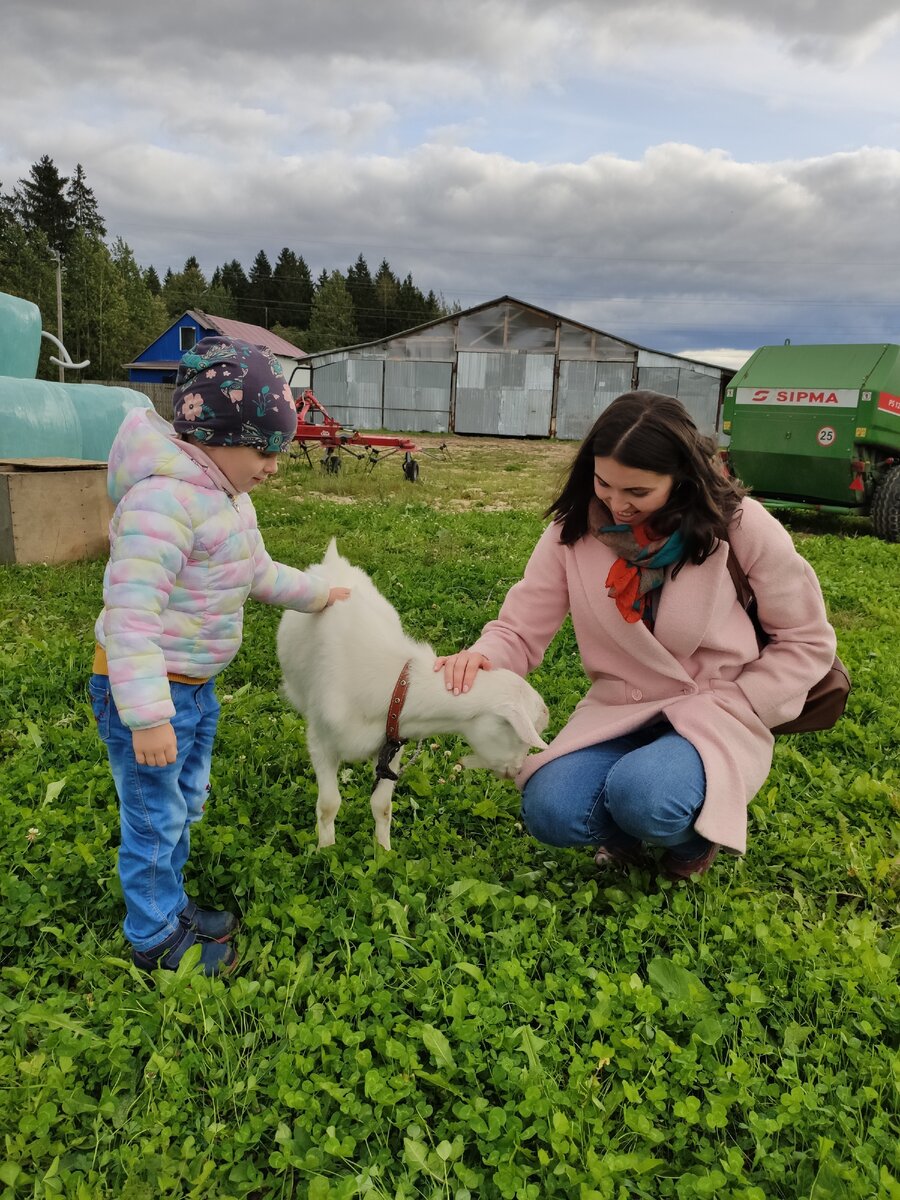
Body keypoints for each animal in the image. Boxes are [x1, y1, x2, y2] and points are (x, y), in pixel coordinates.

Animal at [278, 540, 554, 849]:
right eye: (520, 737)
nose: (516, 772)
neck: (392, 684)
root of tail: (333, 560)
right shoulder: (321, 742)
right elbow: (329, 805)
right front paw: (325, 851)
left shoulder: (391, 746)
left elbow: (382, 806)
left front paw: (384, 852)